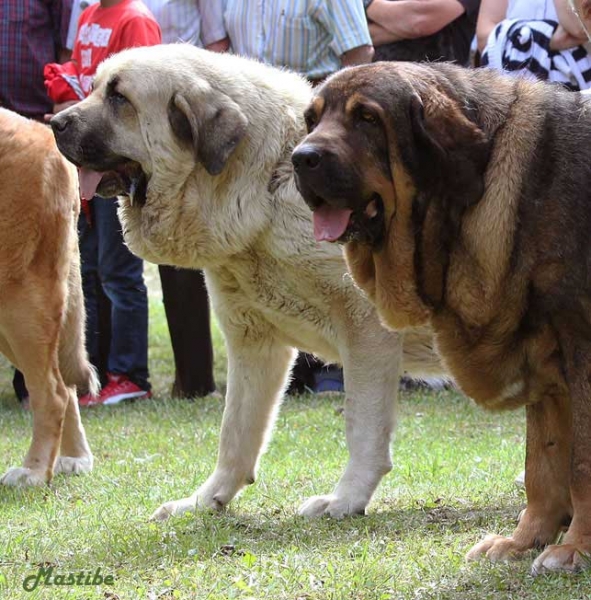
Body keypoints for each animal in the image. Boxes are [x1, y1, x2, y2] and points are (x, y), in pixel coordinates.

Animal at [52, 44, 444, 516]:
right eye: (93, 88)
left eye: (119, 97)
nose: (53, 122)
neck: (269, 184)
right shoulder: (253, 340)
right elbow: (236, 429)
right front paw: (206, 499)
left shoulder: (366, 329)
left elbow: (361, 424)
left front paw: (345, 498)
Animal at [294, 62, 591, 576]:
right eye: (312, 120)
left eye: (367, 118)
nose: (301, 158)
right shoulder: (547, 361)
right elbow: (543, 464)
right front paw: (524, 540)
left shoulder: (581, 345)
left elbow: (580, 465)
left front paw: (575, 547)